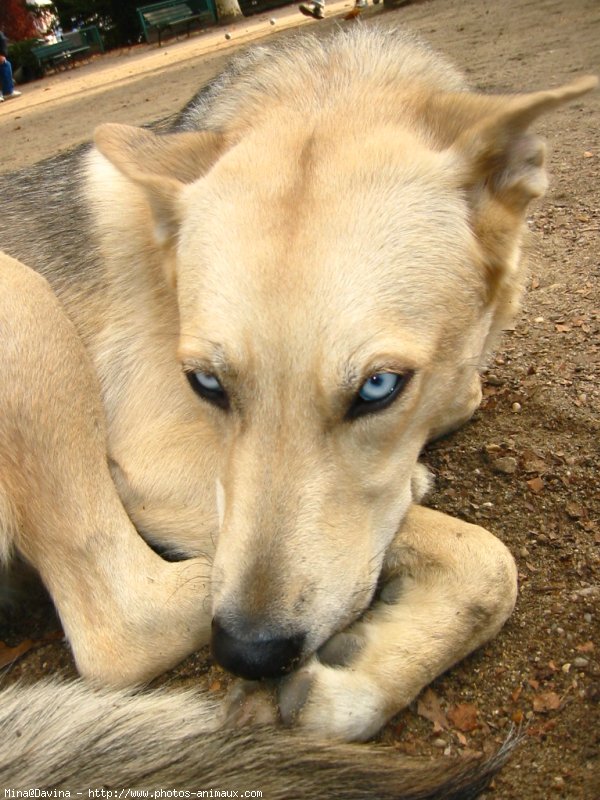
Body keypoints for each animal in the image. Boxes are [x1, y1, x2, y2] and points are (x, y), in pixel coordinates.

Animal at [0, 25, 596, 792]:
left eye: (379, 387)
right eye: (206, 383)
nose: (248, 653)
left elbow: (463, 408)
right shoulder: (161, 460)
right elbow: (489, 560)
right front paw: (356, 684)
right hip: (22, 297)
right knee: (125, 627)